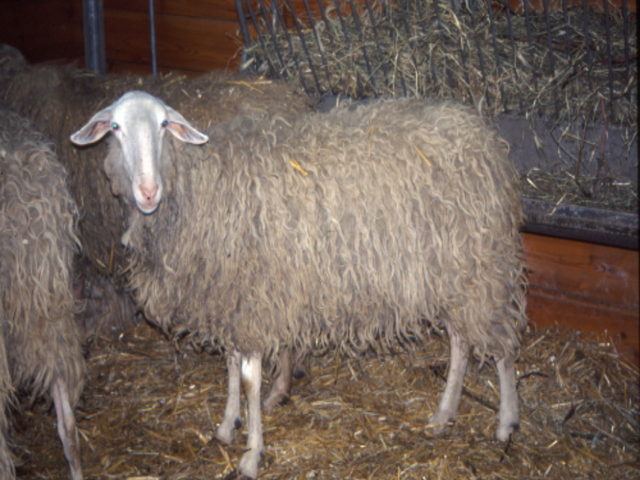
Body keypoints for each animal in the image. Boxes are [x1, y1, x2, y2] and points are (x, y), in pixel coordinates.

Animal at [71, 91, 528, 479]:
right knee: (461, 342)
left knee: (502, 347)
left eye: (164, 124)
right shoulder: (230, 297)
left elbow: (250, 380)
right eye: (115, 128)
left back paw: (505, 423)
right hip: (454, 272)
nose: (148, 192)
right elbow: (231, 365)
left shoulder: (254, 298)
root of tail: (479, 132)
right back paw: (444, 413)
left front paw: (251, 455)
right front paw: (227, 427)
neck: (200, 186)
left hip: (482, 265)